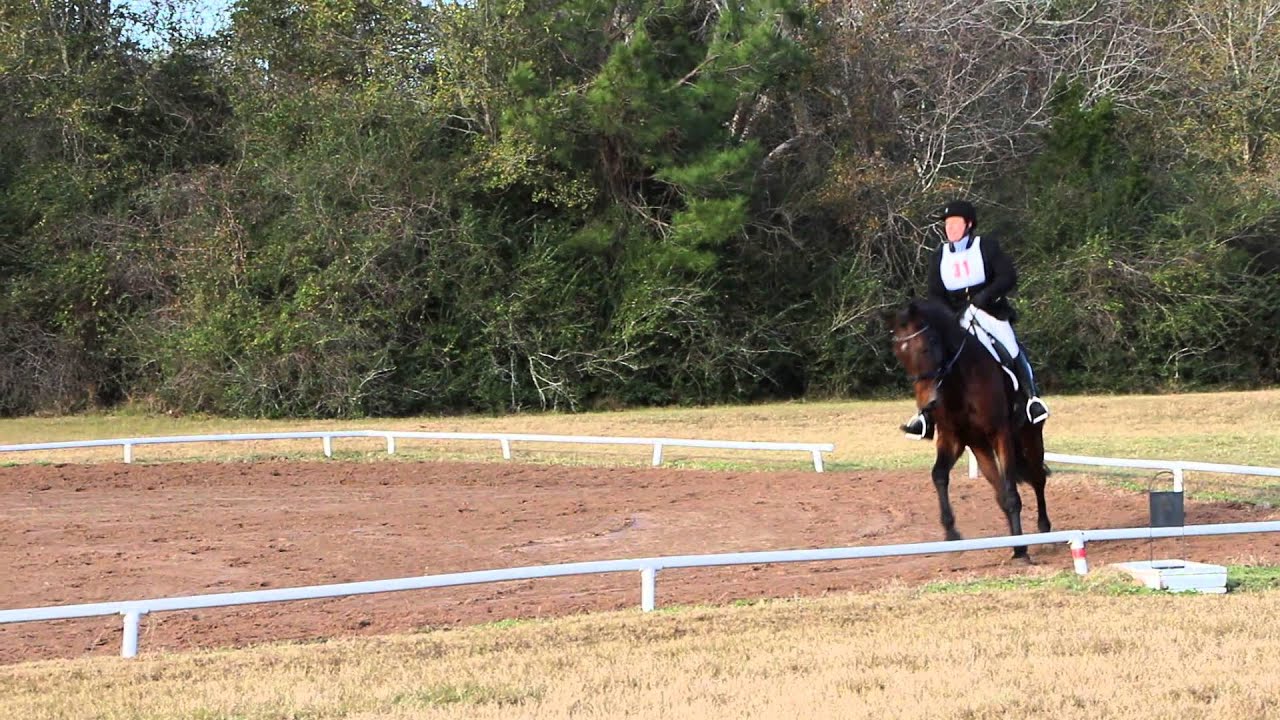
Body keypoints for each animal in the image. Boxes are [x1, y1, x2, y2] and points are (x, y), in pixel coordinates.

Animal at [885, 294, 1054, 558]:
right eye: (900, 356)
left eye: (928, 345)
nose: (928, 403)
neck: (958, 382)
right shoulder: (954, 437)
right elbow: (939, 475)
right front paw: (952, 534)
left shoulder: (1000, 434)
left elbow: (1012, 491)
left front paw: (1021, 550)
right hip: (980, 446)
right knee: (1000, 489)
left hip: (1029, 436)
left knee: (1038, 478)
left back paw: (1045, 532)